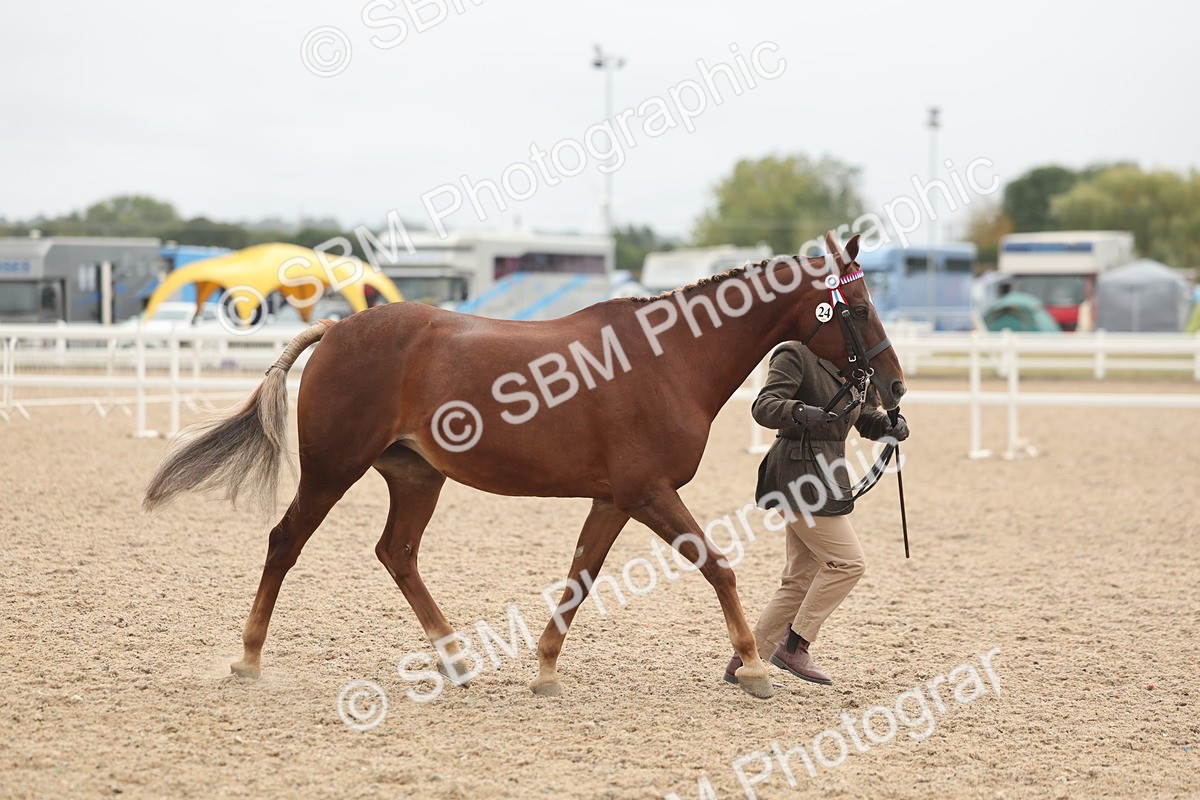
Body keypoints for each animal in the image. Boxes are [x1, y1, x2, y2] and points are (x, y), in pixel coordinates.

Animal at [143, 231, 906, 700]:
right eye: (858, 305)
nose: (894, 390)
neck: (669, 360)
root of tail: (338, 327)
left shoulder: (616, 498)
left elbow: (580, 578)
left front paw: (543, 669)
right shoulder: (648, 492)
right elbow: (717, 567)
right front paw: (752, 666)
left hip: (416, 476)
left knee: (398, 553)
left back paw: (455, 660)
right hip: (335, 469)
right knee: (286, 542)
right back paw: (247, 659)